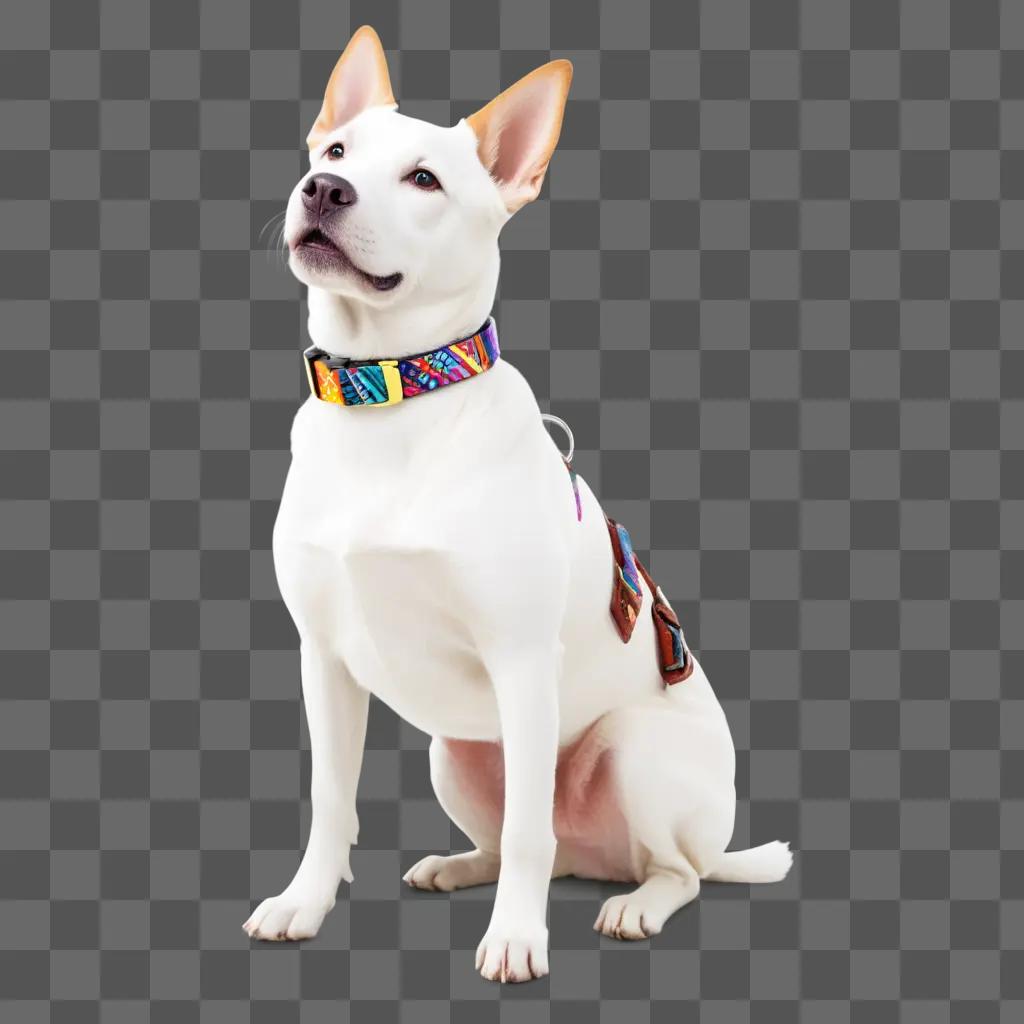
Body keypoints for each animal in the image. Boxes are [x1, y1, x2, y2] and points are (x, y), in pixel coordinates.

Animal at [243, 25, 794, 983]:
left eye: (425, 179)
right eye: (336, 152)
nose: (324, 190)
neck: (389, 398)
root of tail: (603, 857)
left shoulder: (523, 661)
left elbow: (531, 836)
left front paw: (516, 941)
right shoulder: (324, 659)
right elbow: (332, 800)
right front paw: (303, 904)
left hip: (630, 751)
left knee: (661, 866)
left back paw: (634, 905)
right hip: (455, 755)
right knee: (519, 840)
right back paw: (458, 865)